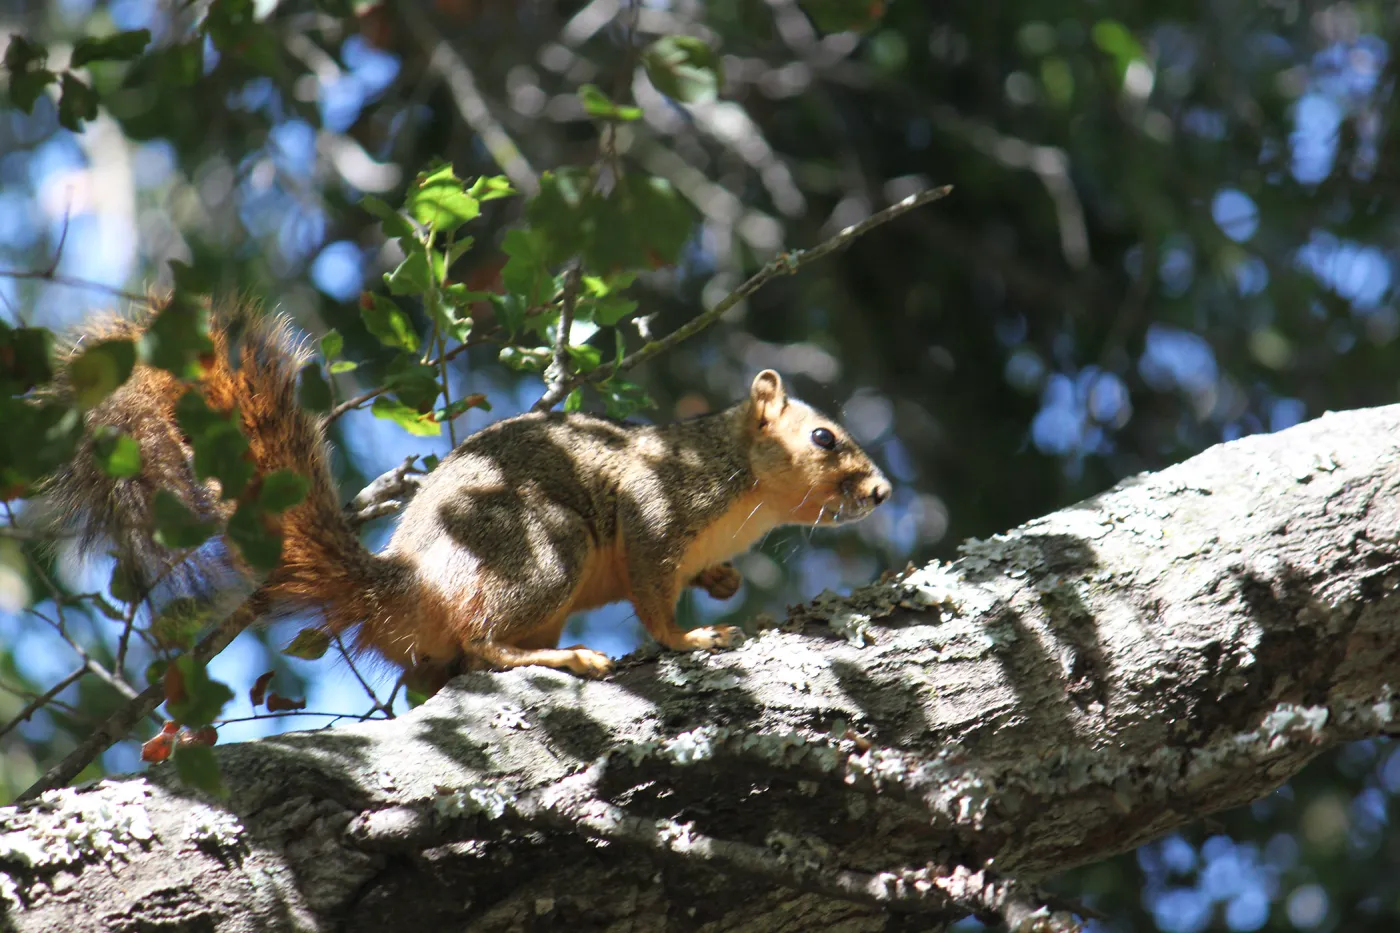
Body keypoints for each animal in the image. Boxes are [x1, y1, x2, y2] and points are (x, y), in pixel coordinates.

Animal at [43, 298, 891, 688]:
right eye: (824, 438)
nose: (882, 490)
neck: (745, 491)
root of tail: (405, 583)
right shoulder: (658, 501)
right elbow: (653, 591)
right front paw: (688, 637)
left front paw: (723, 581)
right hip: (544, 546)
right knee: (485, 643)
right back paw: (567, 655)